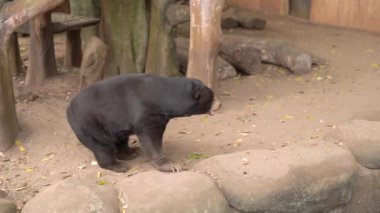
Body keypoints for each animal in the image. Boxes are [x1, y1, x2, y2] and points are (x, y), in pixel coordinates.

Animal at [67, 74, 215, 172]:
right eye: (211, 99)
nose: (215, 103)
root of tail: (68, 109)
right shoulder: (147, 114)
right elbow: (151, 139)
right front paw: (172, 165)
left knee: (120, 140)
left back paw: (130, 152)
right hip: (91, 124)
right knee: (102, 146)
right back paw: (118, 165)